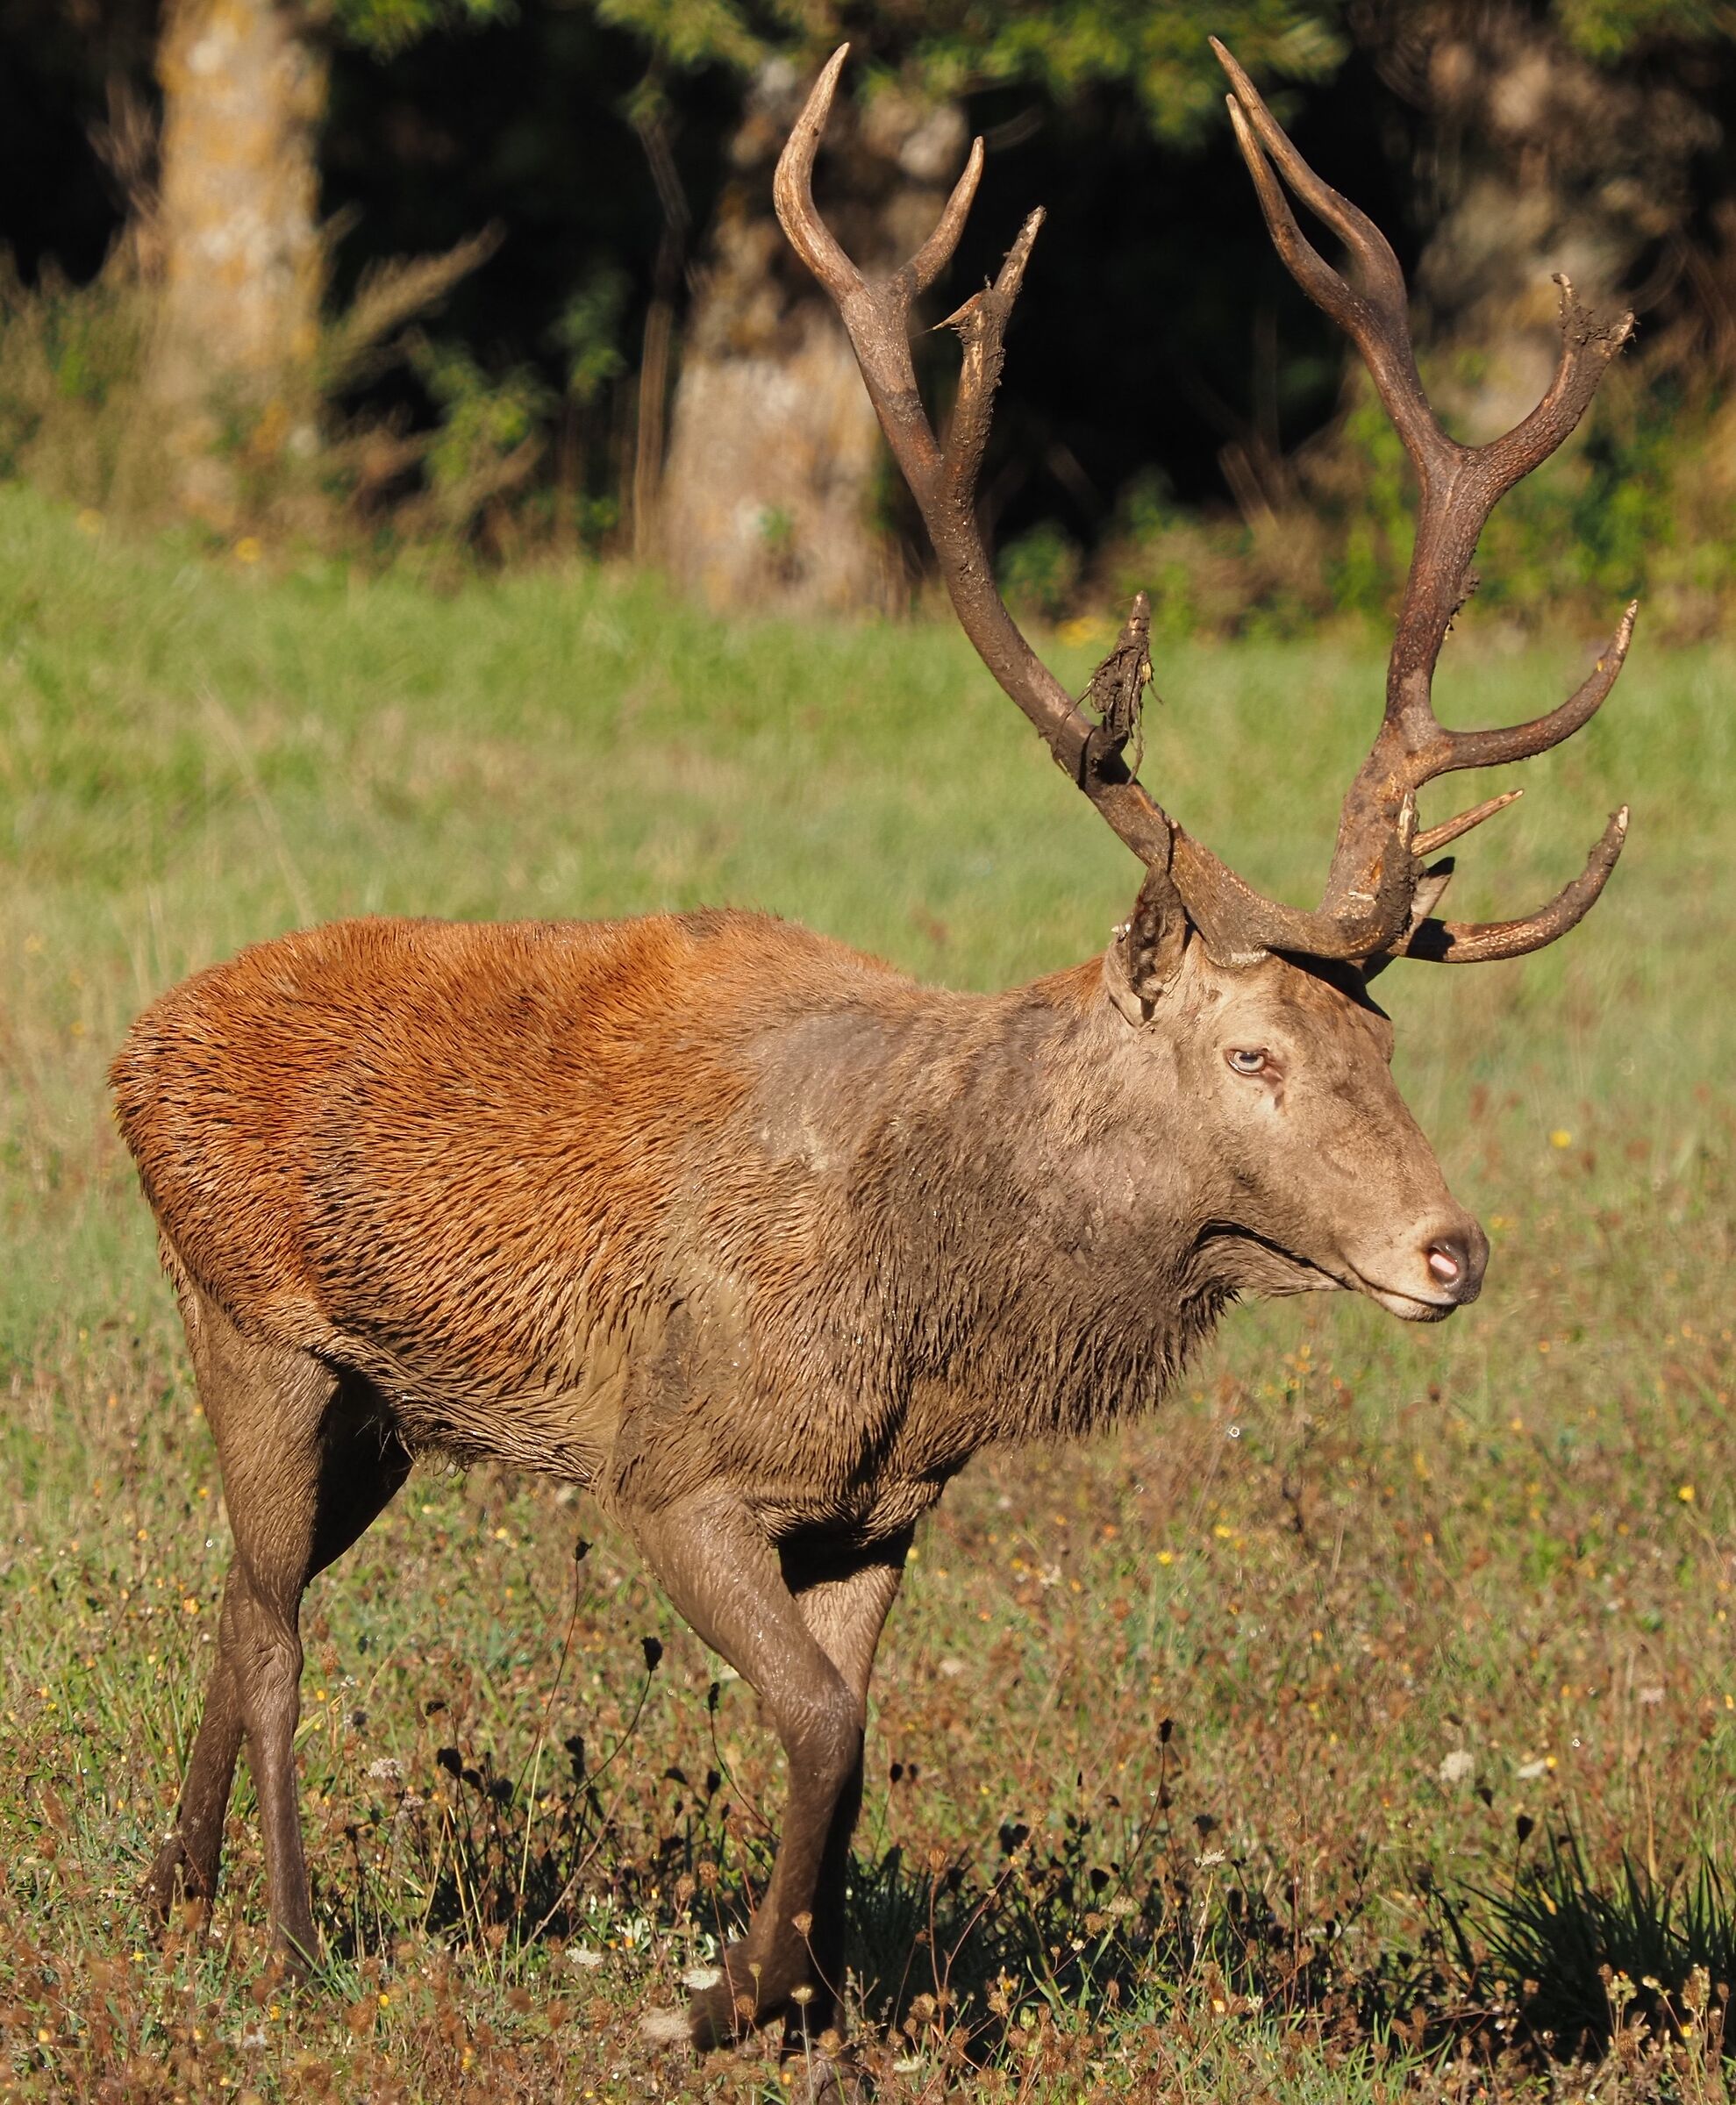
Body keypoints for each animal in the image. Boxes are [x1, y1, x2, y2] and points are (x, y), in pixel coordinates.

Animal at [110, 38, 1634, 2092]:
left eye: (1375, 1034)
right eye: (1249, 1051)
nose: (1446, 1252)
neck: (936, 1319)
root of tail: (138, 1040)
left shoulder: (881, 1508)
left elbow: (851, 1753)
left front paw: (817, 2015)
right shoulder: (675, 1467)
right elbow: (822, 1737)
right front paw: (711, 2000)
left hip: (378, 1411)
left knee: (232, 1590)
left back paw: (172, 1902)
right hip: (250, 1317)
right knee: (272, 1627)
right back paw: (279, 1948)